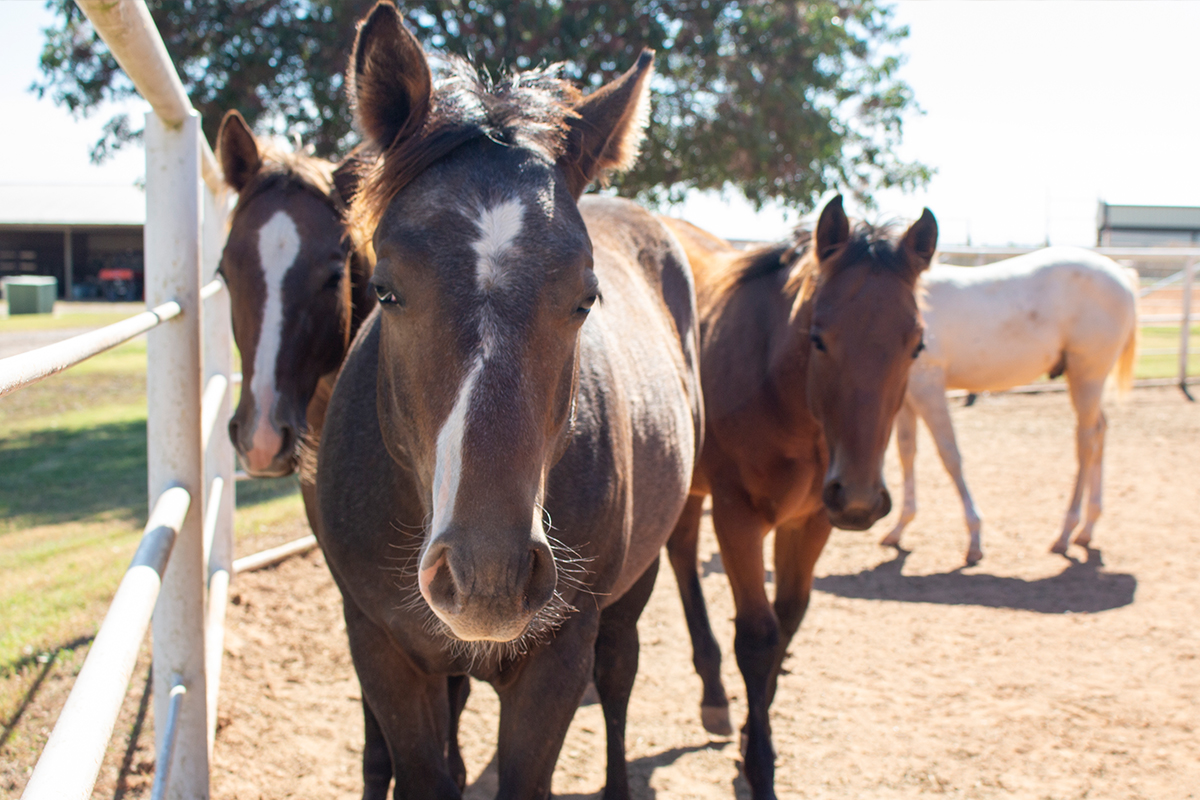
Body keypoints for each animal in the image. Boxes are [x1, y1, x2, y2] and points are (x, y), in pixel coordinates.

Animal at [316, 5, 701, 798]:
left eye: (585, 297)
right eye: (385, 290)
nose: (486, 577)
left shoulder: (558, 658)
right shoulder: (382, 651)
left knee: (619, 680)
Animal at [660, 200, 936, 799]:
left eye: (917, 345)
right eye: (819, 338)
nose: (859, 497)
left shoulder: (811, 522)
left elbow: (786, 624)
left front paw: (750, 737)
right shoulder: (737, 517)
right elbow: (757, 638)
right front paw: (759, 767)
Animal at [879, 247, 1139, 565]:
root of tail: (1121, 274)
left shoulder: (927, 384)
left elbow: (949, 455)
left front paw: (974, 537)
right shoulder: (906, 398)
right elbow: (907, 454)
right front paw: (899, 527)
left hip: (1087, 375)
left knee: (1086, 441)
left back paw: (1066, 532)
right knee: (1099, 429)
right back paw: (1087, 528)